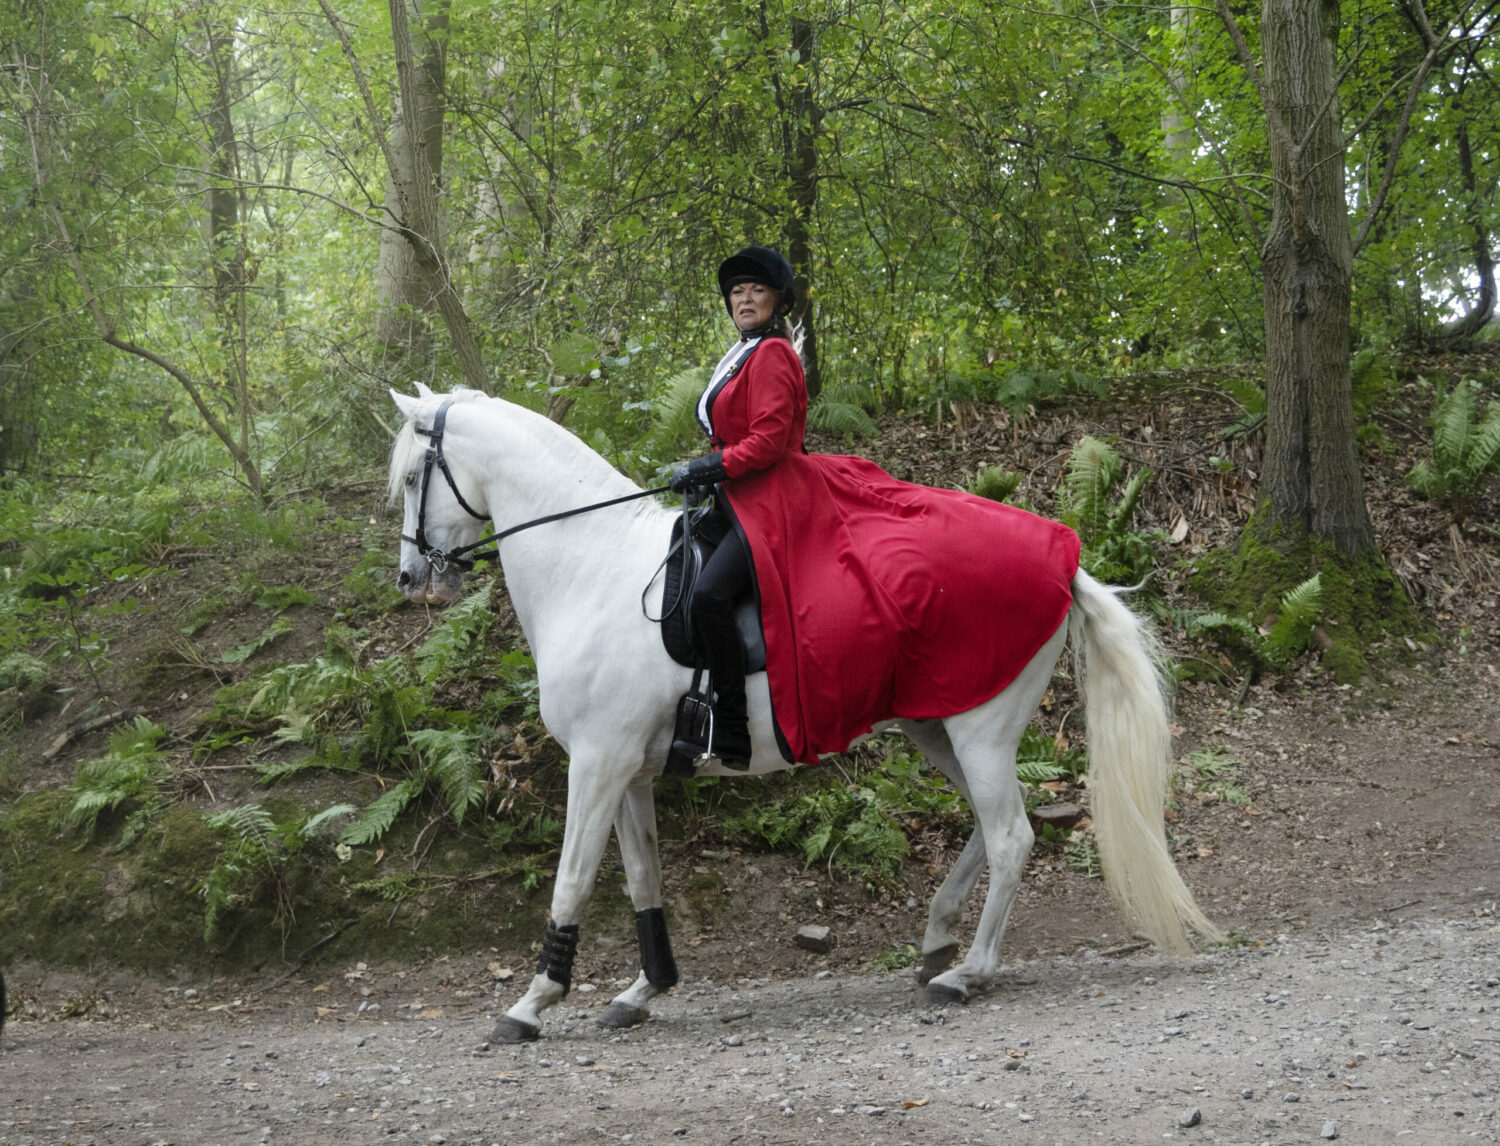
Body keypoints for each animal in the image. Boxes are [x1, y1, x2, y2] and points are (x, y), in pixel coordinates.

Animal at [387, 384, 1222, 1044]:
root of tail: (1064, 557)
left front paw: (532, 1003)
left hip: (979, 729)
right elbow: (642, 880)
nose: (410, 577)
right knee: (994, 827)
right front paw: (643, 988)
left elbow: (571, 882)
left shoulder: (596, 764)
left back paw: (969, 973)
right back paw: (937, 941)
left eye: (413, 476)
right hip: (937, 725)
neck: (589, 565)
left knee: (1012, 835)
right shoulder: (627, 771)